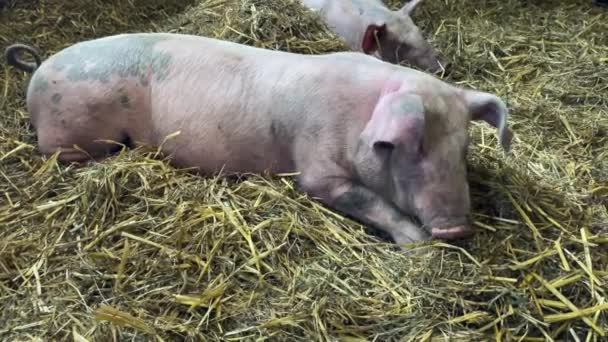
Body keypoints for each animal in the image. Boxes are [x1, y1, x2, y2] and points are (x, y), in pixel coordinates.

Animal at [5, 32, 512, 244]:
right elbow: (371, 202)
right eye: (412, 148)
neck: (357, 119)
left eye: (463, 148)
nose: (456, 228)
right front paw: (418, 245)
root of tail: (38, 68)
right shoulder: (318, 171)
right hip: (76, 137)